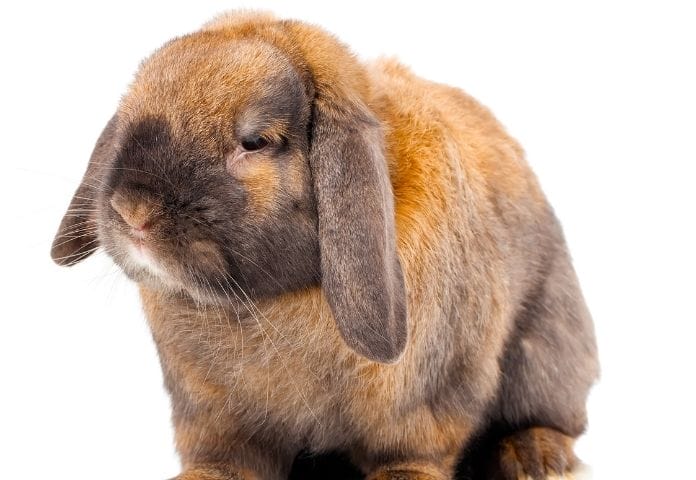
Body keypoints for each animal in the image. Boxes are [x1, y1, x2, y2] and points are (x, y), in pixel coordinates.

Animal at [51, 11, 599, 480]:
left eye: (254, 141)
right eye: (130, 116)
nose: (132, 211)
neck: (266, 304)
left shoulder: (429, 394)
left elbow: (415, 451)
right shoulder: (210, 414)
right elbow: (222, 456)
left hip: (547, 350)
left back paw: (536, 456)